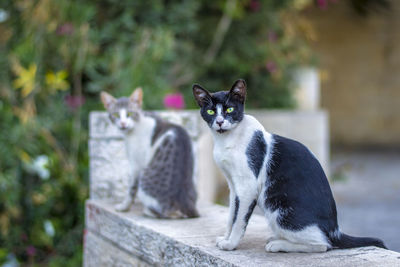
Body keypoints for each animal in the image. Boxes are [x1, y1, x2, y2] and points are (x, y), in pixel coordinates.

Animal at [101, 89, 198, 219]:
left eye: (130, 114)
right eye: (116, 115)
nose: (123, 123)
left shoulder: (136, 165)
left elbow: (131, 188)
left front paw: (124, 206)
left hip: (144, 182)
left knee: (169, 213)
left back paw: (148, 211)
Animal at [192, 79, 386, 253]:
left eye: (229, 109)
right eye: (210, 111)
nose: (219, 122)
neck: (226, 140)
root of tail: (335, 230)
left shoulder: (247, 186)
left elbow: (240, 219)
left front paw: (231, 244)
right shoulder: (234, 187)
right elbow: (232, 215)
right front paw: (225, 237)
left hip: (278, 209)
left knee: (323, 245)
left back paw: (279, 245)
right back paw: (277, 238)